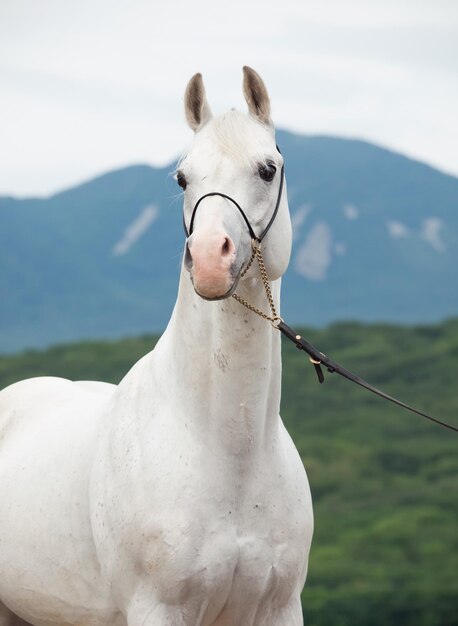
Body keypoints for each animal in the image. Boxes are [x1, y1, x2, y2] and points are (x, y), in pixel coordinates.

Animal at [0, 67, 312, 624]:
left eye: (267, 169)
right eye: (182, 179)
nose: (208, 259)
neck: (230, 453)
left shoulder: (279, 609)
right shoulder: (157, 609)